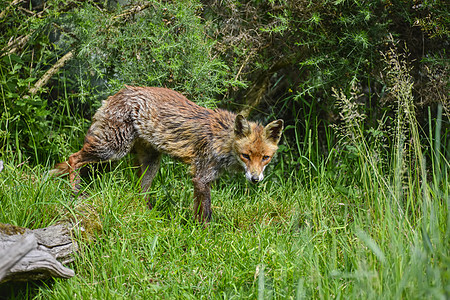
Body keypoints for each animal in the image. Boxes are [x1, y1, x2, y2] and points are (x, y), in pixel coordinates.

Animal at [51, 85, 284, 221]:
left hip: (150, 163)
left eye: (265, 158)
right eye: (246, 156)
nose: (255, 179)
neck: (223, 142)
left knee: (139, 191)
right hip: (112, 149)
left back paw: (147, 214)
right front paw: (205, 235)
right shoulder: (201, 176)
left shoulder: (201, 179)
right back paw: (75, 193)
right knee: (72, 159)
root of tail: (116, 94)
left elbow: (199, 209)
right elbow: (206, 212)